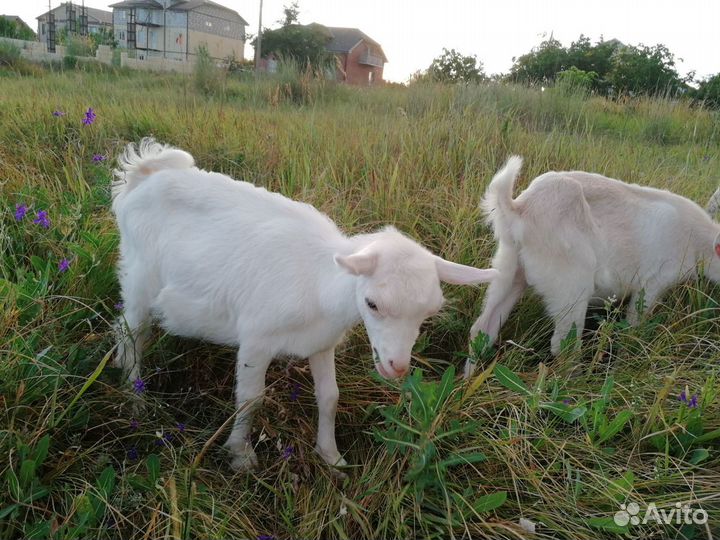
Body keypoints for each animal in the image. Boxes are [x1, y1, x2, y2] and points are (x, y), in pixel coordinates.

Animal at [112, 138, 497, 470]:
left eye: (428, 313)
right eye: (371, 304)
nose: (397, 367)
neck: (319, 285)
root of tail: (144, 174)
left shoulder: (320, 344)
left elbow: (329, 397)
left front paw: (331, 456)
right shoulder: (256, 340)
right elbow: (251, 399)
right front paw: (241, 455)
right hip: (139, 277)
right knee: (131, 333)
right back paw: (136, 401)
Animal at [467, 156, 720, 376]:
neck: (699, 238)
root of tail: (518, 208)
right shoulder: (652, 284)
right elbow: (633, 328)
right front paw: (623, 366)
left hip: (507, 268)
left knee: (482, 328)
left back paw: (467, 380)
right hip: (570, 283)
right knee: (564, 345)